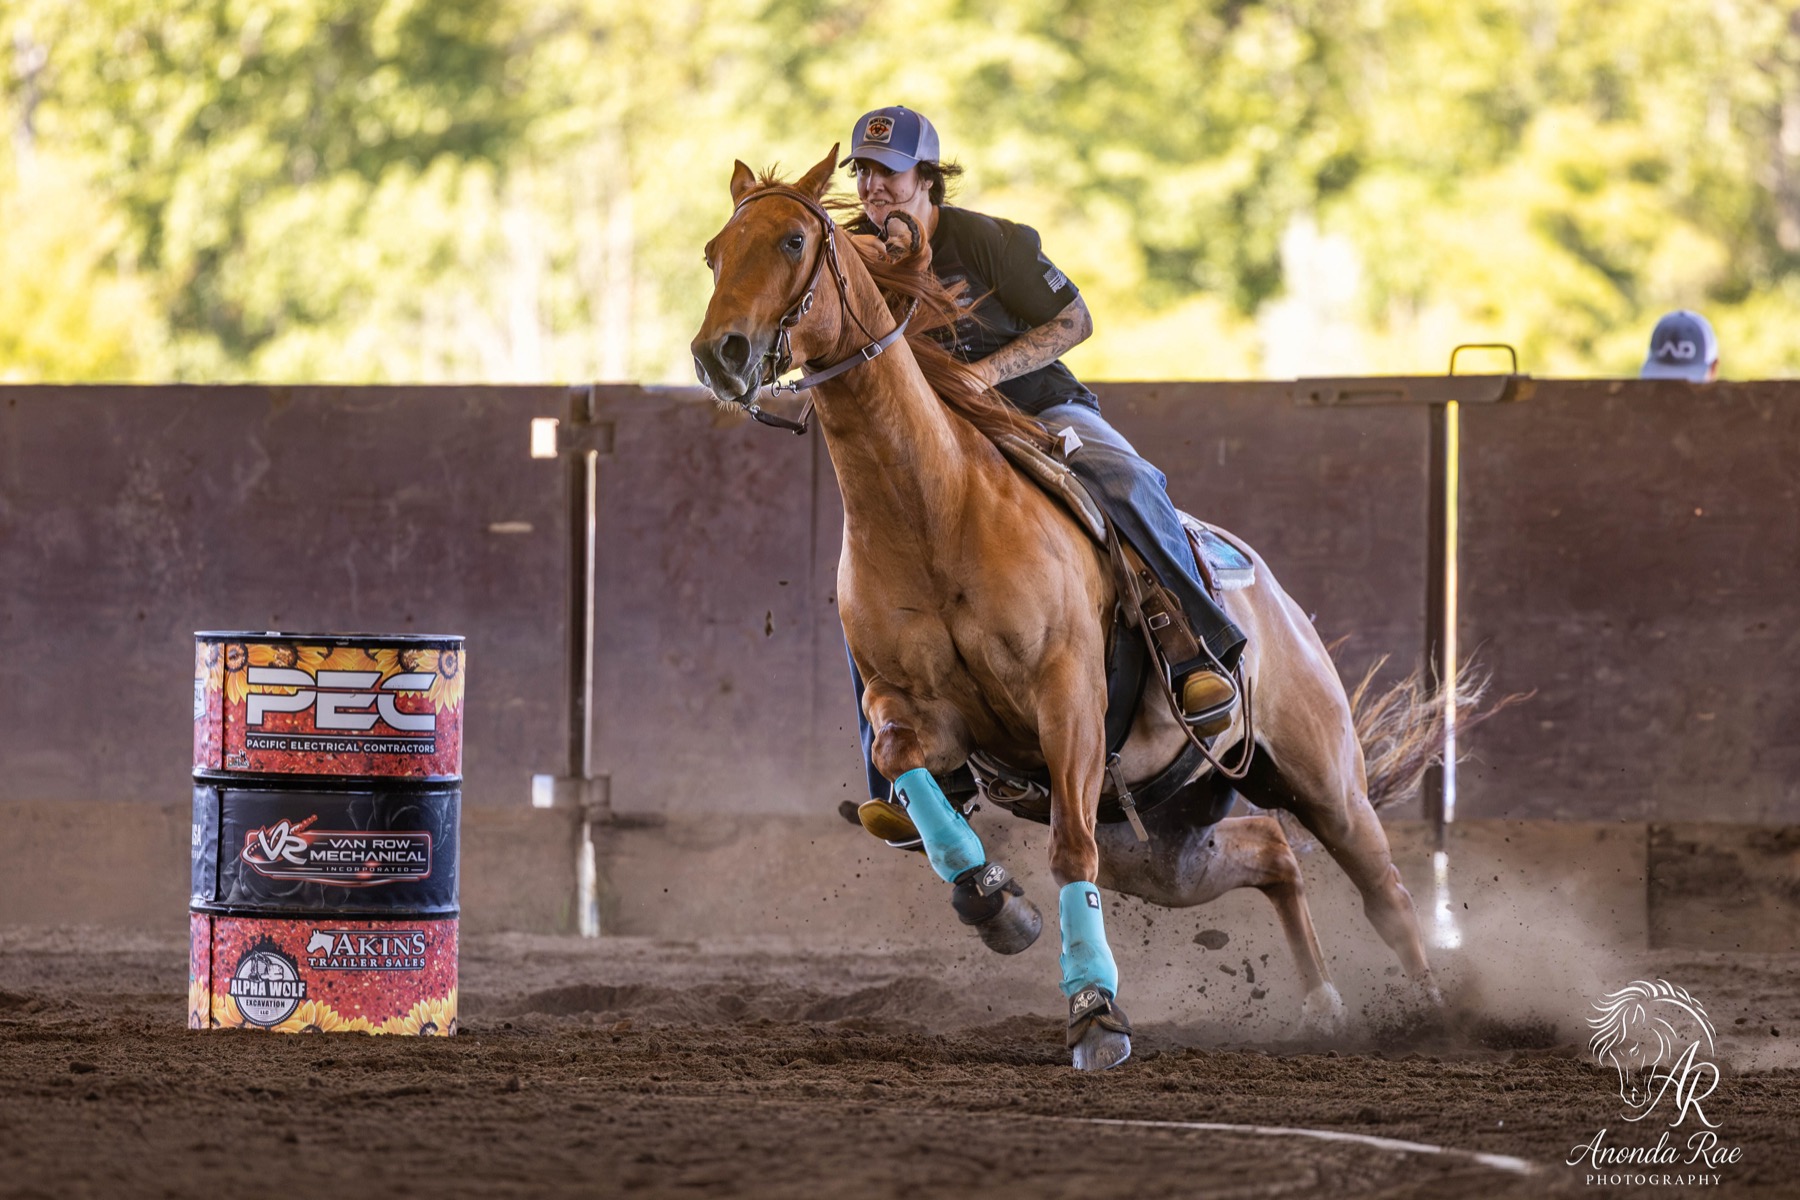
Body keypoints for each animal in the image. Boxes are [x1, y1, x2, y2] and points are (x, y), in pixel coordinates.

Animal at [692, 147, 1444, 1070]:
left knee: (1383, 887)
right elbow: (918, 784)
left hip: (1321, 775)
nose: (719, 353)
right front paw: (993, 900)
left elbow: (1066, 850)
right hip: (1162, 844)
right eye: (714, 253)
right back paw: (1323, 1004)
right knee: (1272, 854)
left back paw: (1431, 1011)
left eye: (794, 239)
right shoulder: (912, 711)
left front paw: (1095, 1012)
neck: (934, 508)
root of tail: (1278, 601)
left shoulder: (1067, 700)